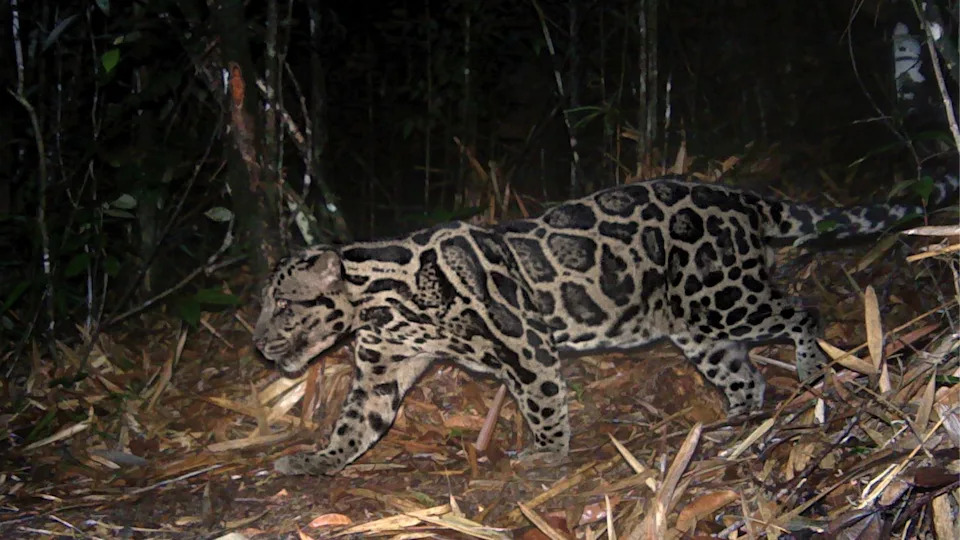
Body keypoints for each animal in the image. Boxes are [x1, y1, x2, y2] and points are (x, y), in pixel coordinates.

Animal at [254, 174, 958, 476]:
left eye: (283, 305)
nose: (258, 342)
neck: (384, 300)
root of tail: (740, 195)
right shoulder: (380, 373)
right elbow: (355, 424)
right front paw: (318, 459)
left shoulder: (525, 342)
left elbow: (543, 403)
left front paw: (546, 454)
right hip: (695, 325)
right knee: (745, 376)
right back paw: (731, 425)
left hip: (722, 295)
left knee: (801, 309)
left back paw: (812, 373)